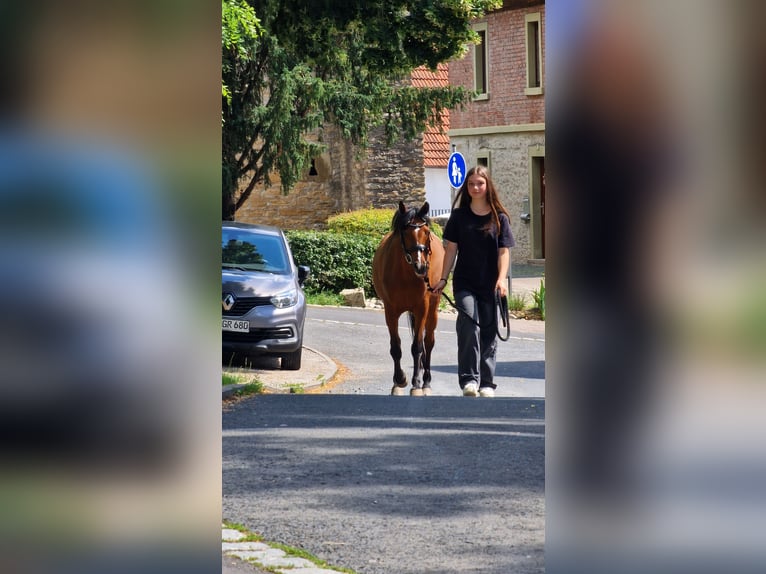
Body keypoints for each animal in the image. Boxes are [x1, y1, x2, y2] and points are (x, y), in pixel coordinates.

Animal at [372, 201, 444, 396]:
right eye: (405, 232)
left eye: (426, 231)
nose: (421, 267)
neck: (405, 274)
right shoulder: (390, 311)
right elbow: (395, 347)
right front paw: (399, 380)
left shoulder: (421, 309)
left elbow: (417, 347)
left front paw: (416, 384)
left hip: (432, 310)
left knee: (429, 342)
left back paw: (426, 382)